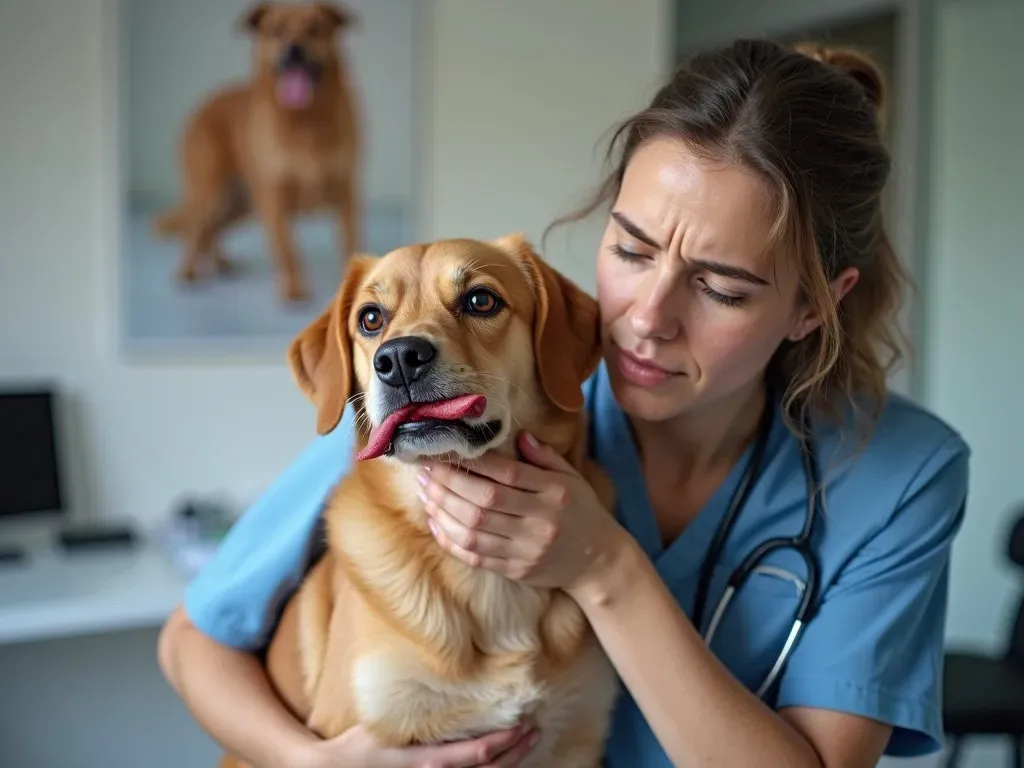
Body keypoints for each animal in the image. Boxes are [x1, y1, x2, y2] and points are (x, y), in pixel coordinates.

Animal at [149, 2, 362, 303]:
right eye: (276, 31)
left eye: (315, 28)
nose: (294, 49)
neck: (304, 120)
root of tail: (203, 105)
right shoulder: (274, 199)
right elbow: (287, 249)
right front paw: (293, 289)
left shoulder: (346, 194)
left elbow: (350, 243)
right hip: (209, 194)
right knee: (193, 231)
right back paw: (188, 271)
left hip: (241, 204)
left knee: (211, 231)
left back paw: (221, 263)